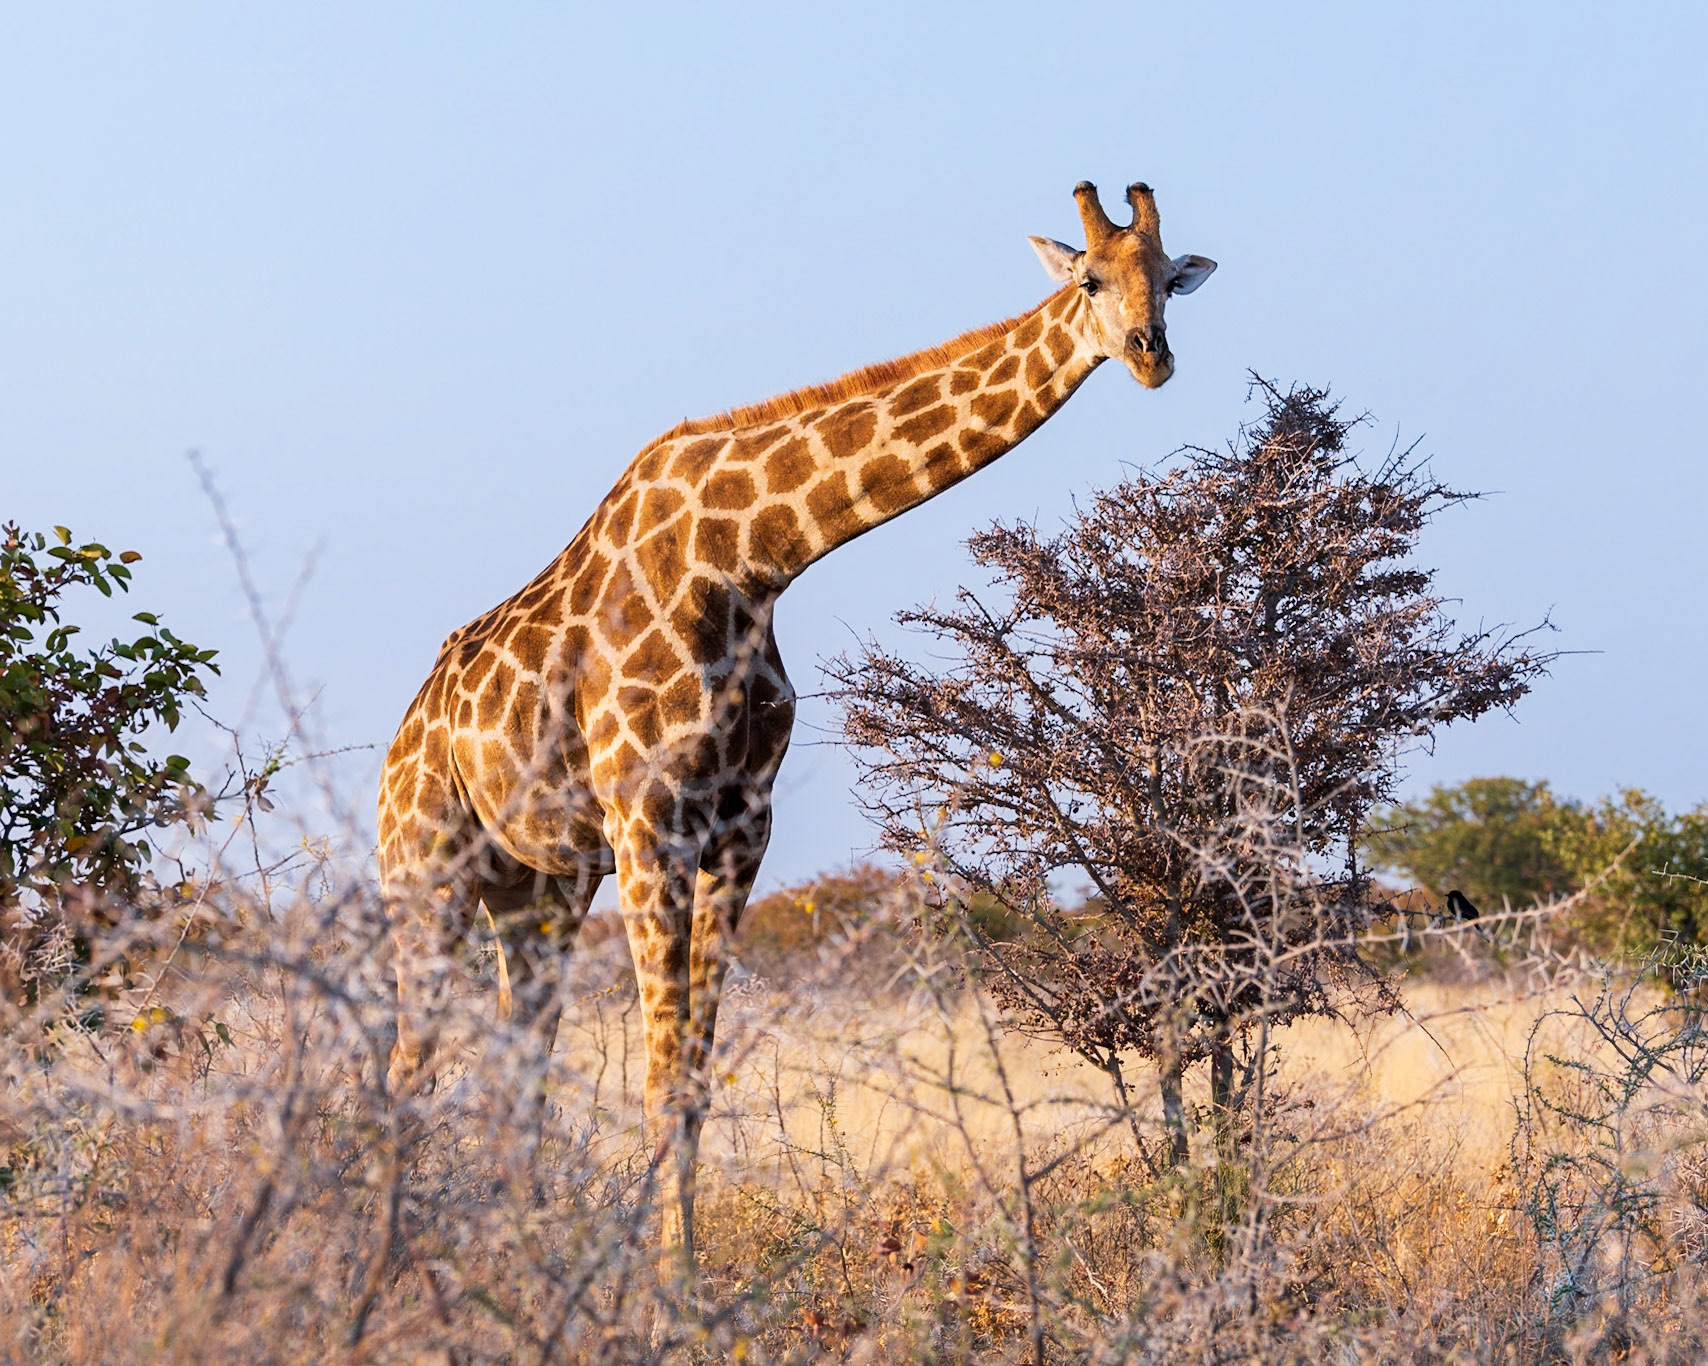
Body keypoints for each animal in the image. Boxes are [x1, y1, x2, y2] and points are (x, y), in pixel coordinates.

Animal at [376, 179, 1215, 1266]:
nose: (1152, 353)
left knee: (518, 1060)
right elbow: (660, 1076)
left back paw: (512, 1256)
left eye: (1166, 278)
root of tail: (404, 736)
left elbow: (692, 1077)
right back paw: (382, 1262)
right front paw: (669, 1291)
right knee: (408, 1061)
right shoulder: (649, 817)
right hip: (425, 867)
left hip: (538, 886)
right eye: (1089, 281)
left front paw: (668, 1278)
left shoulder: (742, 823)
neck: (753, 555)